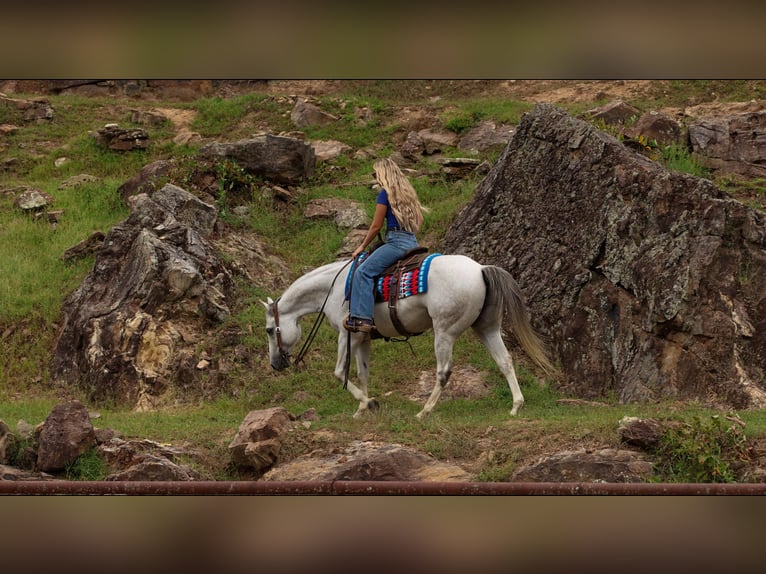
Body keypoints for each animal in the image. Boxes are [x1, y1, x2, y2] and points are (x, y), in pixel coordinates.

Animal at [262, 253, 555, 419]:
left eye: (268, 330)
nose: (275, 364)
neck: (334, 289)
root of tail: (481, 269)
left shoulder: (348, 335)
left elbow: (338, 373)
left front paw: (369, 403)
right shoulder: (363, 338)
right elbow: (362, 374)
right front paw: (361, 410)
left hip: (444, 331)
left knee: (443, 371)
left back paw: (424, 411)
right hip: (487, 328)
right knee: (504, 361)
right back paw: (516, 405)